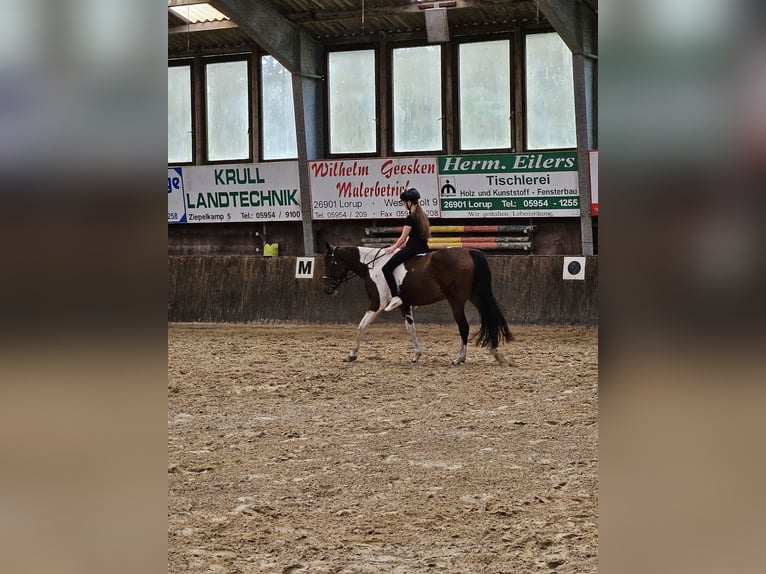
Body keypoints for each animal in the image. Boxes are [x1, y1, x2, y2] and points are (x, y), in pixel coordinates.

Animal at [320, 243, 512, 364]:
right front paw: (416, 355)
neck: (372, 266)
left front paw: (352, 354)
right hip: (475, 296)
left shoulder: (376, 303)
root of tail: (469, 252)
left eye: (329, 263)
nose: (327, 289)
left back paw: (460, 358)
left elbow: (361, 326)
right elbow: (410, 329)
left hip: (456, 301)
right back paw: (496, 353)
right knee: (490, 318)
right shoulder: (404, 305)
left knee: (464, 326)